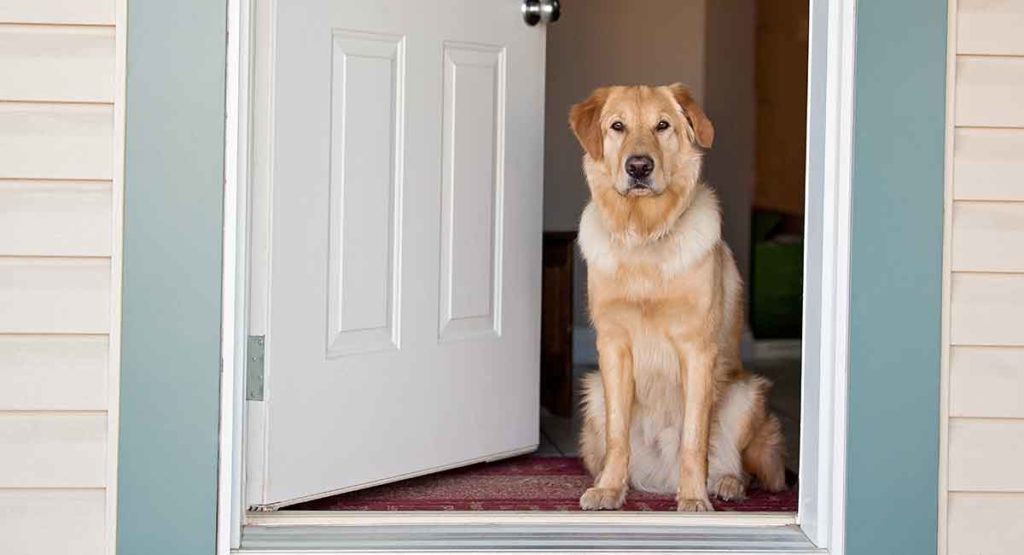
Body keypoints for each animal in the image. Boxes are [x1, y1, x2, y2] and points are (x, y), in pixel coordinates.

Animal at [569, 83, 782, 514]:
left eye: (662, 125)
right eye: (617, 126)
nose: (639, 167)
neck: (644, 235)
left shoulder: (696, 350)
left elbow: (693, 438)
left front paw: (694, 497)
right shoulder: (613, 347)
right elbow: (618, 435)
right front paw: (609, 490)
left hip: (746, 395)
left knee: (741, 466)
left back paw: (726, 483)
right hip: (594, 393)